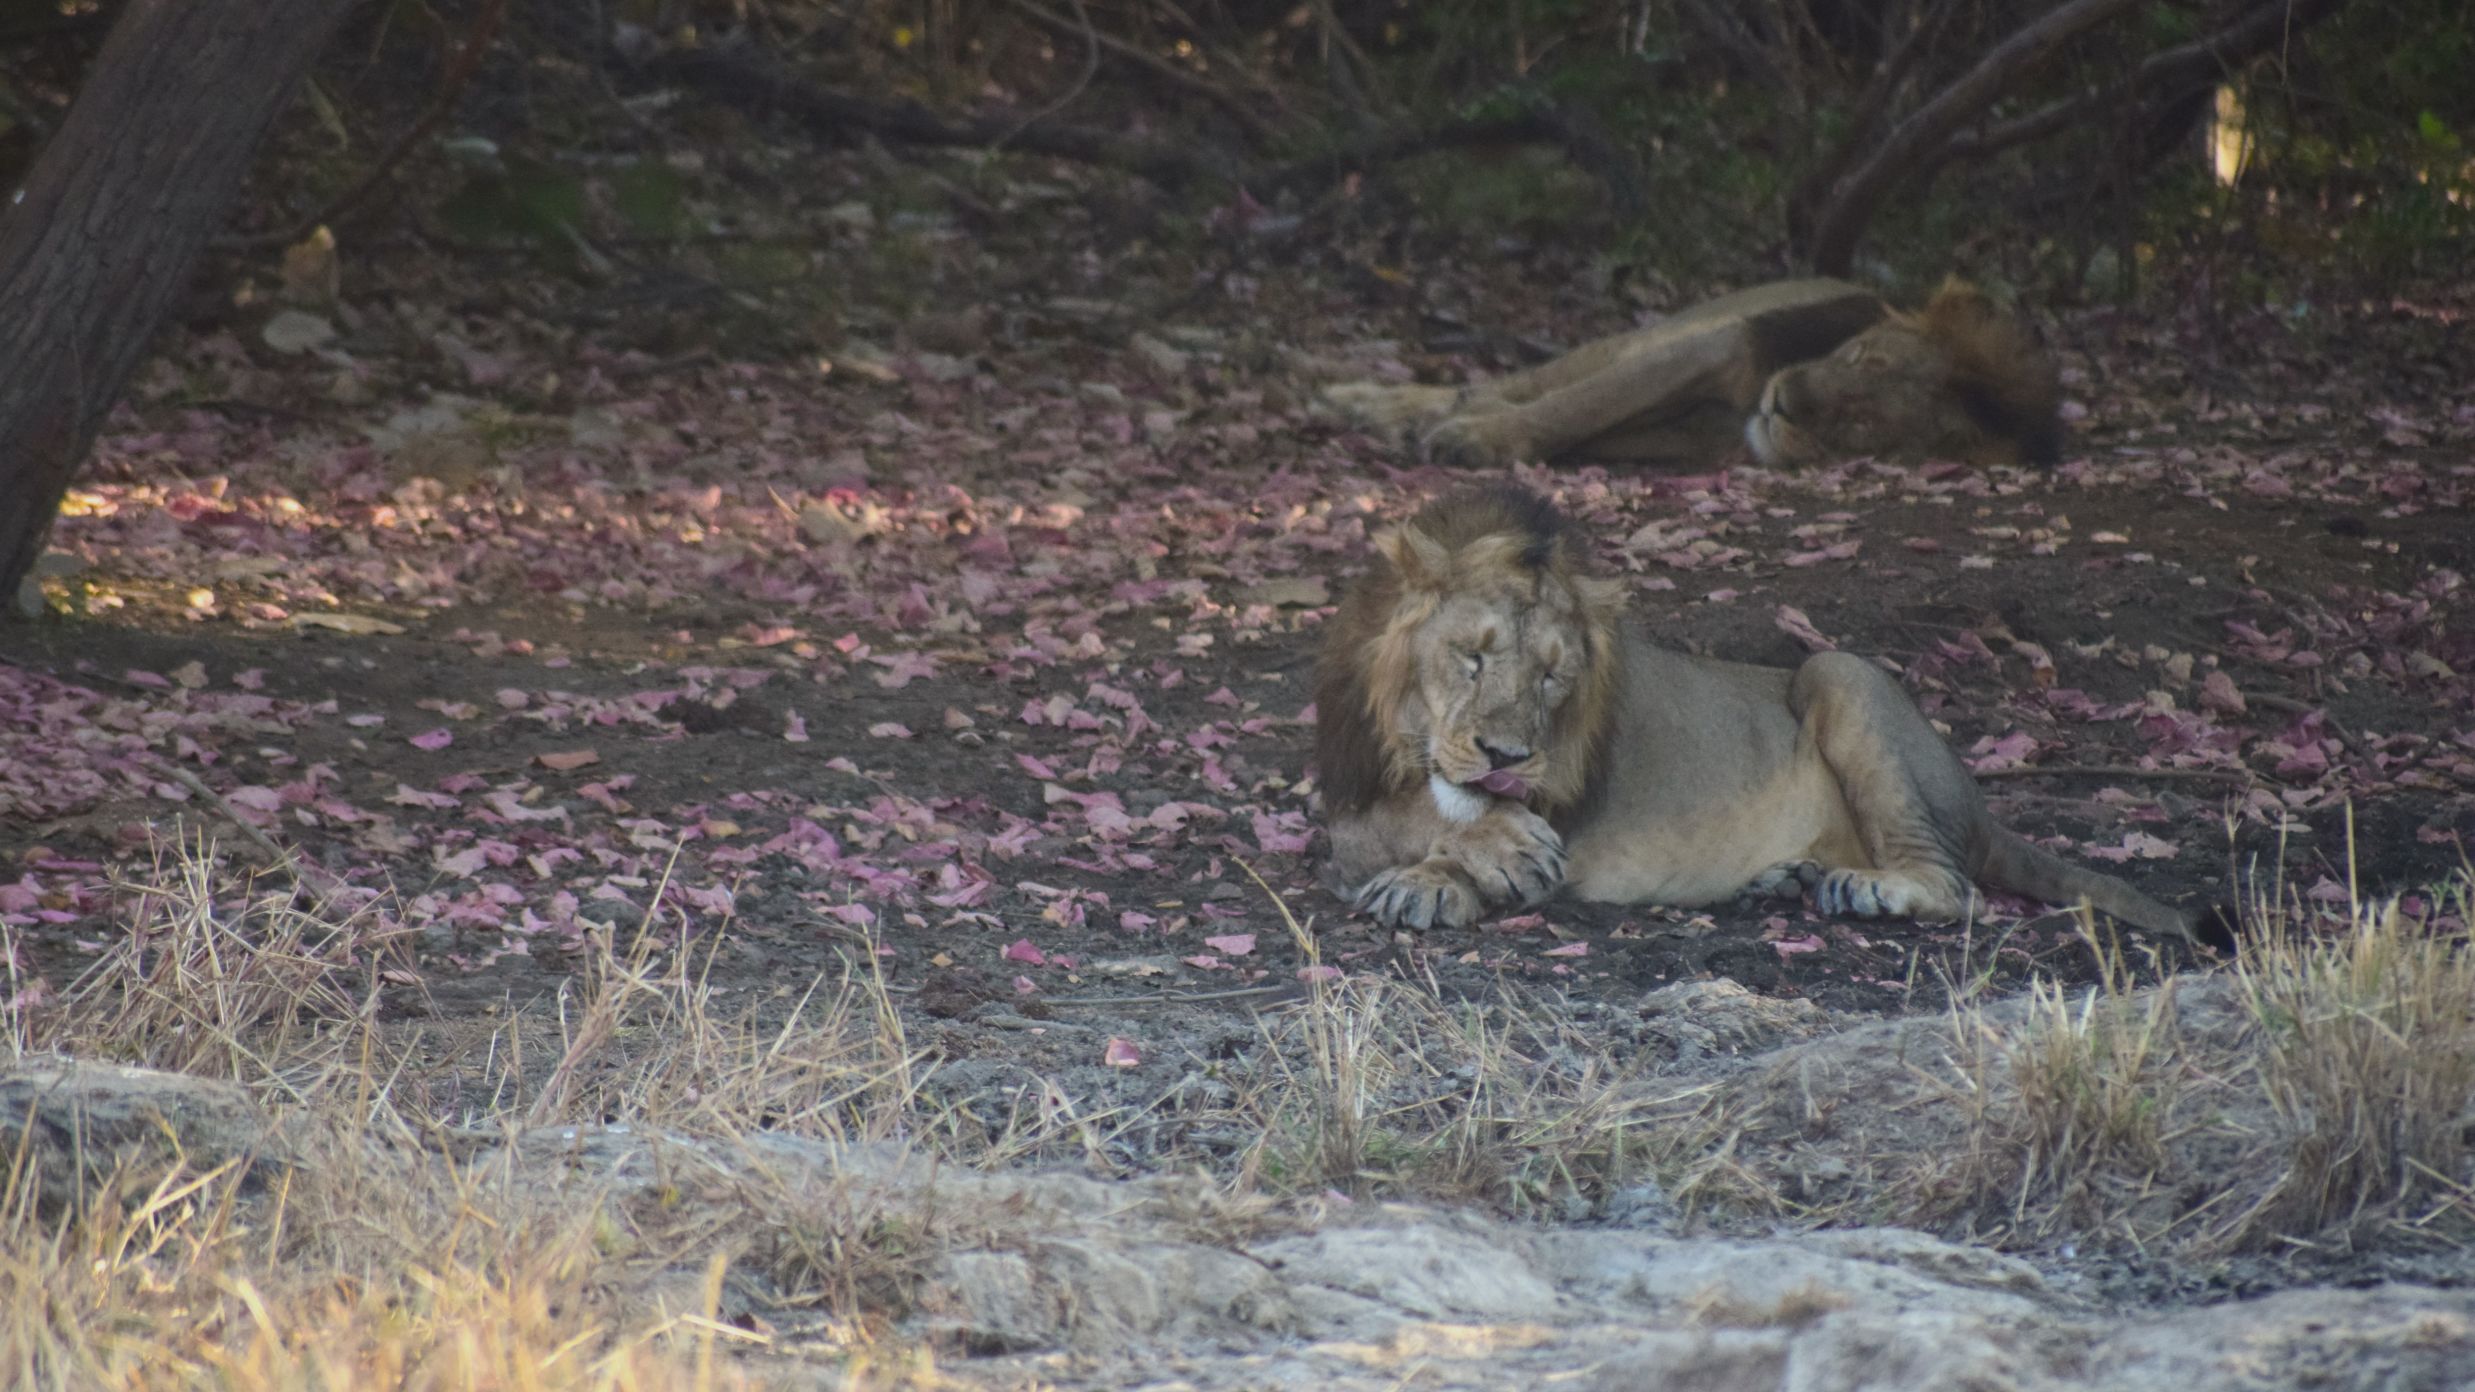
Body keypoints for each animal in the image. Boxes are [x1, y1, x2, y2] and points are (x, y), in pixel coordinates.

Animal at [1316, 480, 2207, 941]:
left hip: (1838, 670)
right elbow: (1406, 819)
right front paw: (1459, 857)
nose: (1505, 758)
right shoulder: (1346, 799)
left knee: (1958, 889)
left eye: (1550, 679)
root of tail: (1982, 806)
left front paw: (1446, 876)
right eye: (1471, 656)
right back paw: (1789, 879)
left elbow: (1459, 830)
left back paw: (1866, 890)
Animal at [1326, 277, 2059, 470]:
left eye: (1860, 420)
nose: (1782, 401)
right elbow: (1578, 404)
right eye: (1858, 357)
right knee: (1516, 381)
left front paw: (1476, 434)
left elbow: (1584, 420)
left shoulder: (1694, 438)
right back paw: (1360, 399)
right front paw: (1473, 438)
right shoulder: (1715, 348)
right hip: (1670, 327)